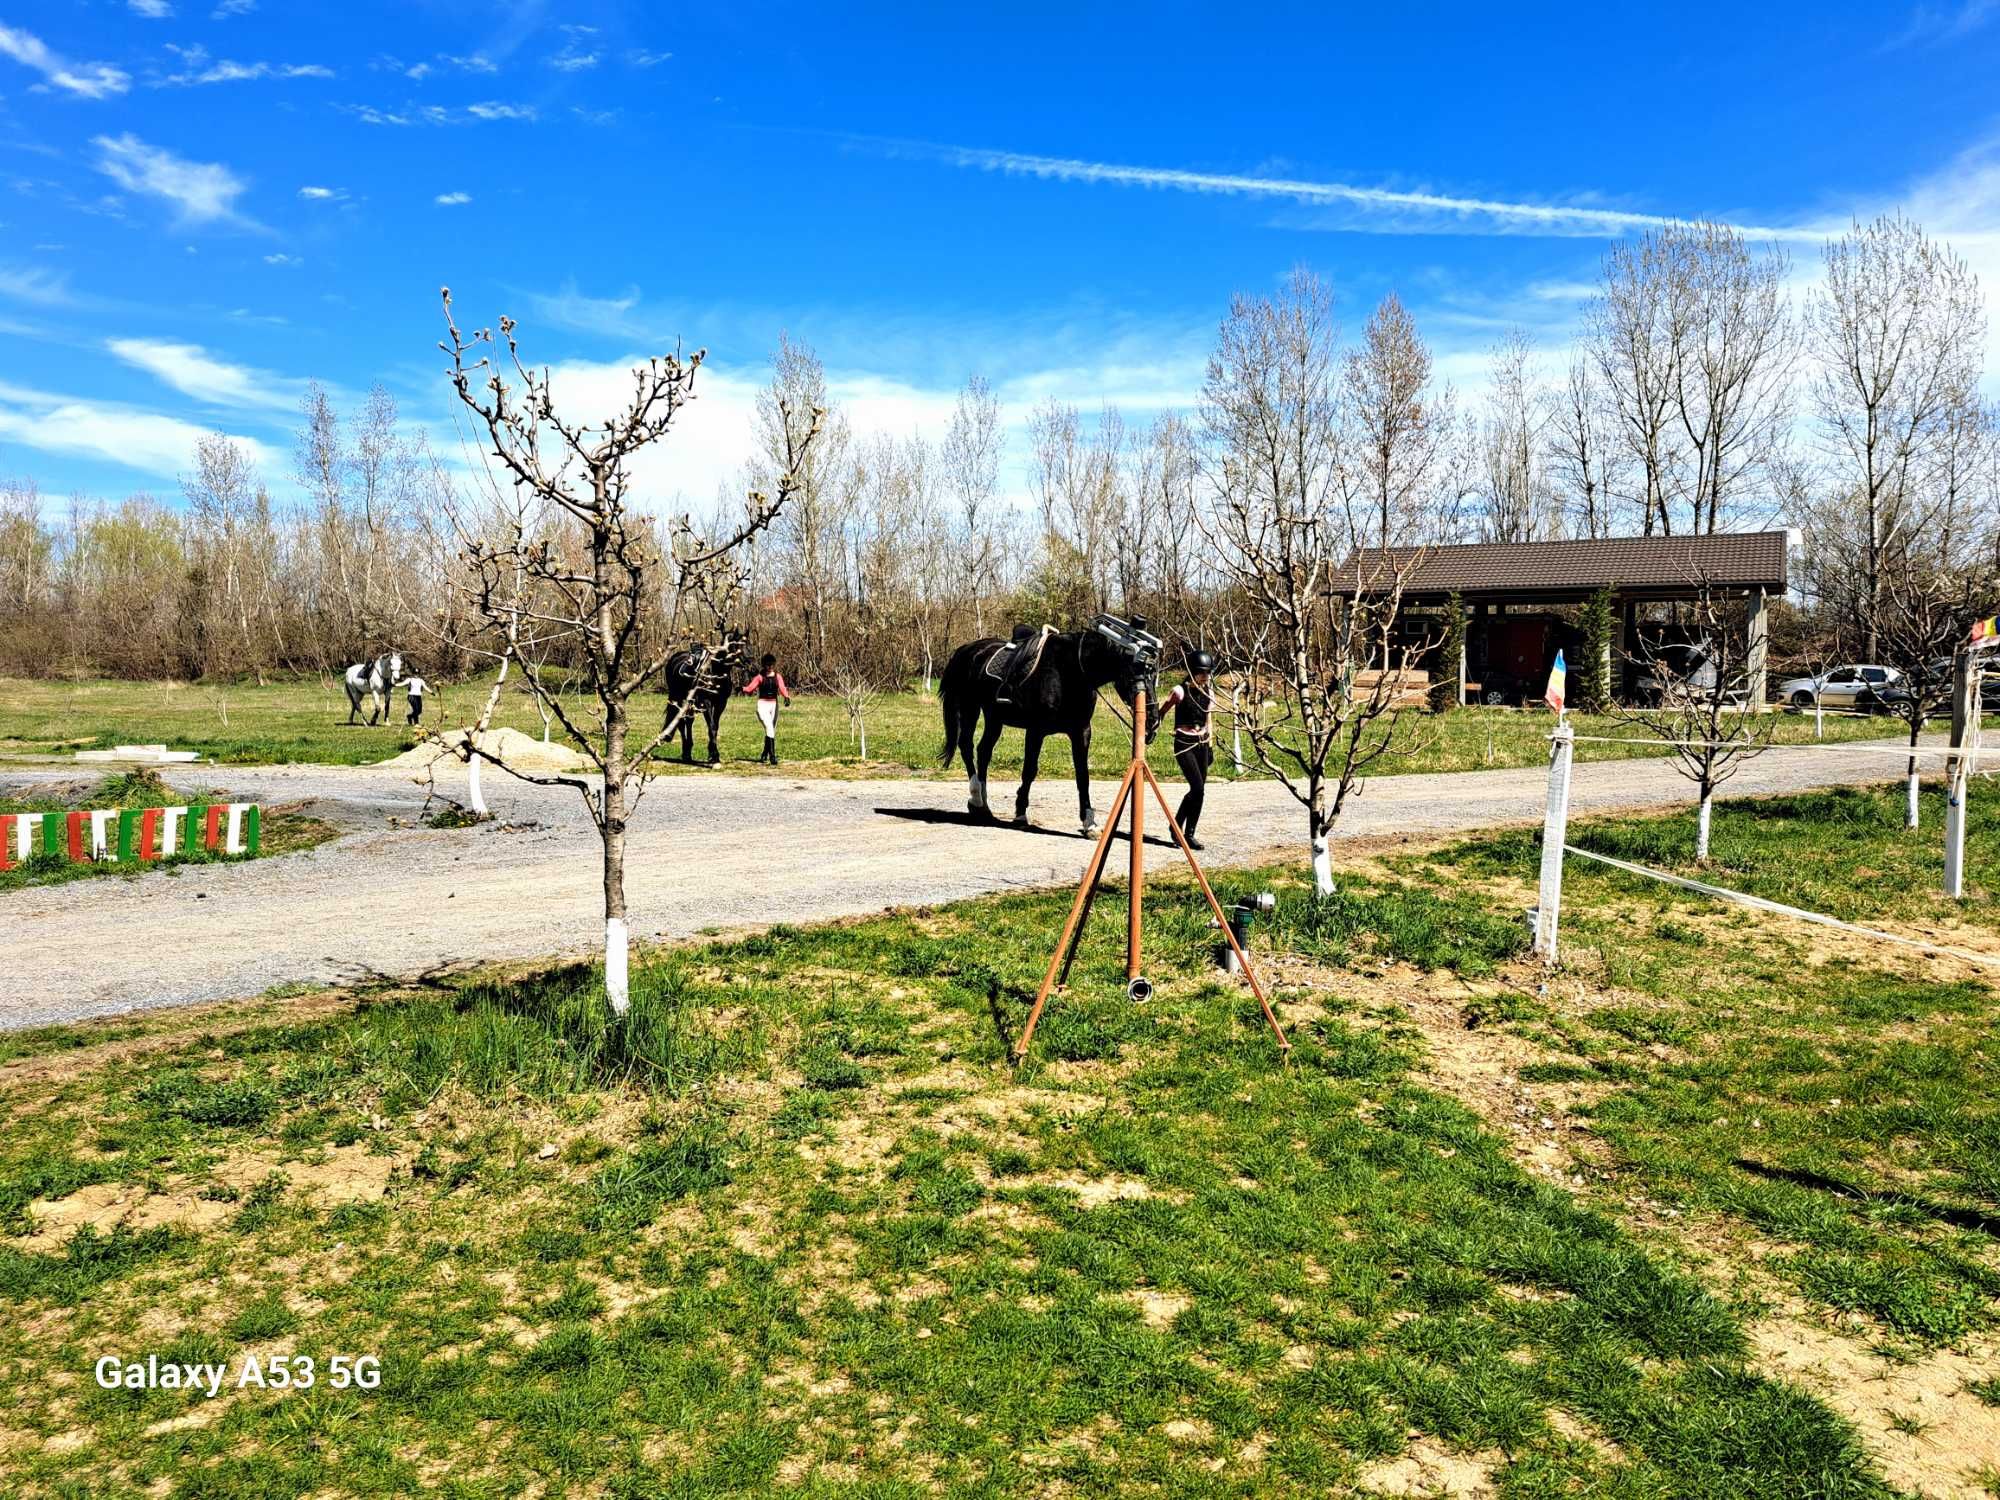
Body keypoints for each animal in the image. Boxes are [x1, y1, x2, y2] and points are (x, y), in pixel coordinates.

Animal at [664, 628, 752, 764]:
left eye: (749, 643)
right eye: (737, 646)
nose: (750, 661)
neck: (716, 673)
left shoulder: (721, 704)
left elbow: (715, 727)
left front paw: (712, 754)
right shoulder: (706, 703)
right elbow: (711, 727)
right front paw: (714, 755)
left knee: (688, 721)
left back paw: (688, 752)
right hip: (678, 699)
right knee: (681, 722)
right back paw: (685, 753)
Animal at [936, 624, 1144, 836]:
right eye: (1138, 672)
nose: (1150, 716)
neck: (1069, 671)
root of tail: (968, 649)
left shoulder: (1081, 731)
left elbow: (1082, 775)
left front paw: (1090, 823)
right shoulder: (1036, 730)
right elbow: (1029, 770)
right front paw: (1020, 814)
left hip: (994, 717)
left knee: (983, 751)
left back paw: (984, 807)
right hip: (970, 707)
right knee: (966, 746)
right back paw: (977, 798)